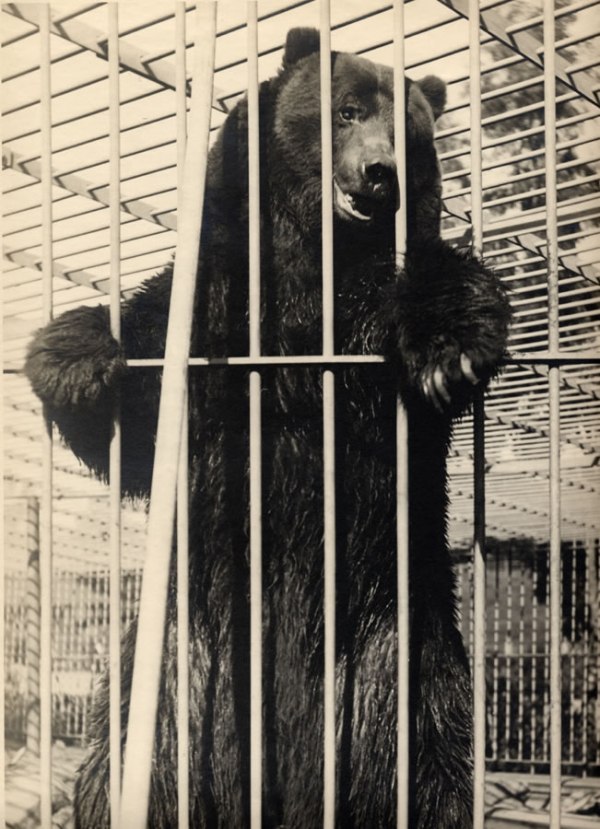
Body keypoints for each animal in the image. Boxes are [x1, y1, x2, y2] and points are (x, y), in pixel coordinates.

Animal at [24, 27, 511, 829]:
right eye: (345, 110)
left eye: (410, 136)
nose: (380, 175)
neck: (309, 261)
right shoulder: (216, 311)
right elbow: (141, 408)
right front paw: (72, 354)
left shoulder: (359, 329)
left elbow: (433, 324)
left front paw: (449, 344)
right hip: (177, 689)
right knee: (118, 771)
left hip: (401, 673)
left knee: (437, 777)